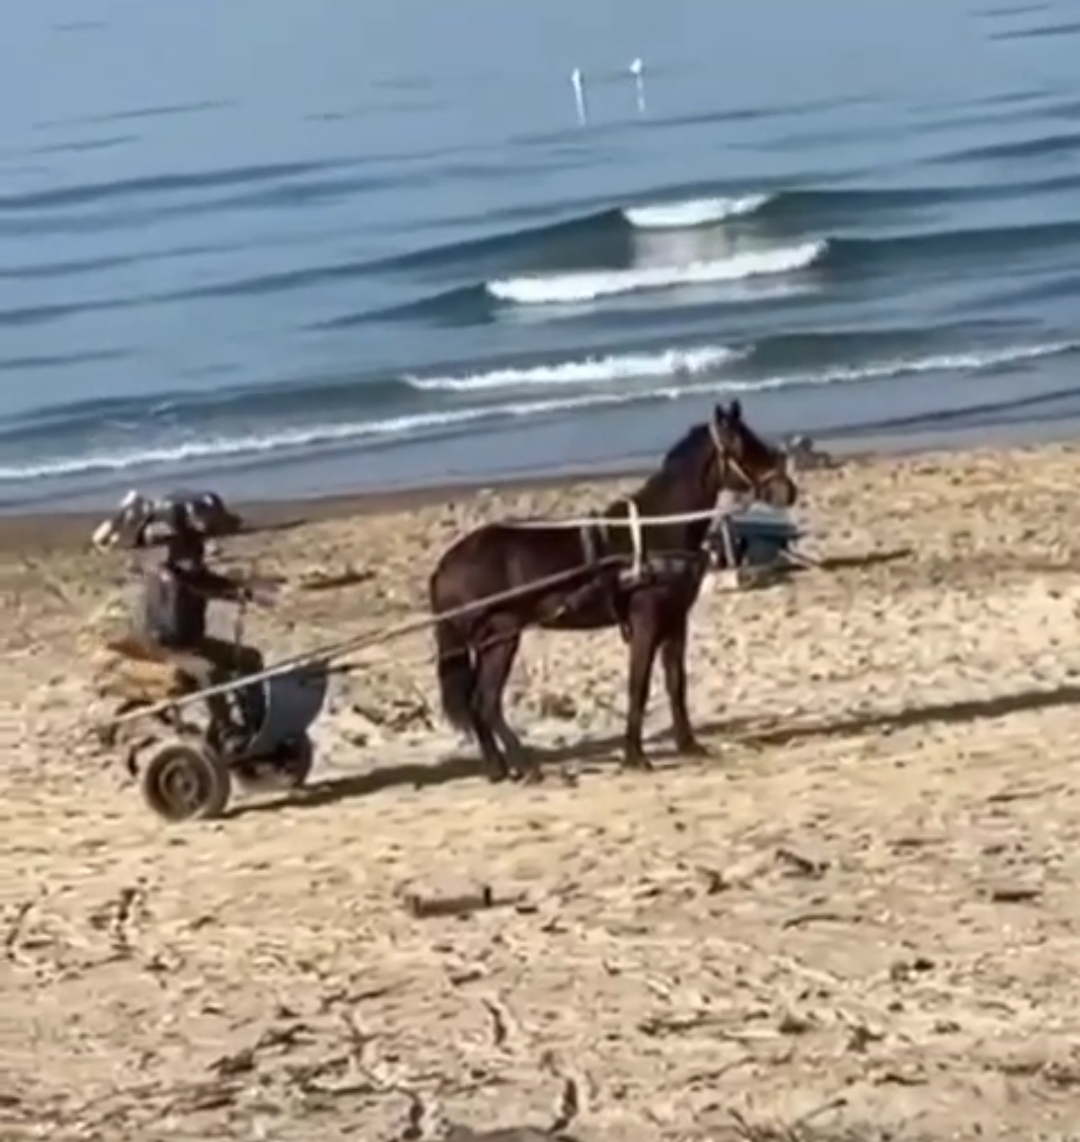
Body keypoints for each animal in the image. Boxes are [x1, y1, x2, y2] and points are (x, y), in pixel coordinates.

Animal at [424, 401, 794, 785]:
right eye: (741, 444)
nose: (788, 491)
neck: (657, 529)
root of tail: (446, 565)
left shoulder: (675, 621)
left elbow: (676, 683)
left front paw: (689, 745)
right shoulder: (646, 622)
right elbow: (638, 686)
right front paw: (635, 756)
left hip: (490, 641)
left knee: (477, 704)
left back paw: (499, 768)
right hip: (502, 636)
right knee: (486, 701)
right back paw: (525, 765)